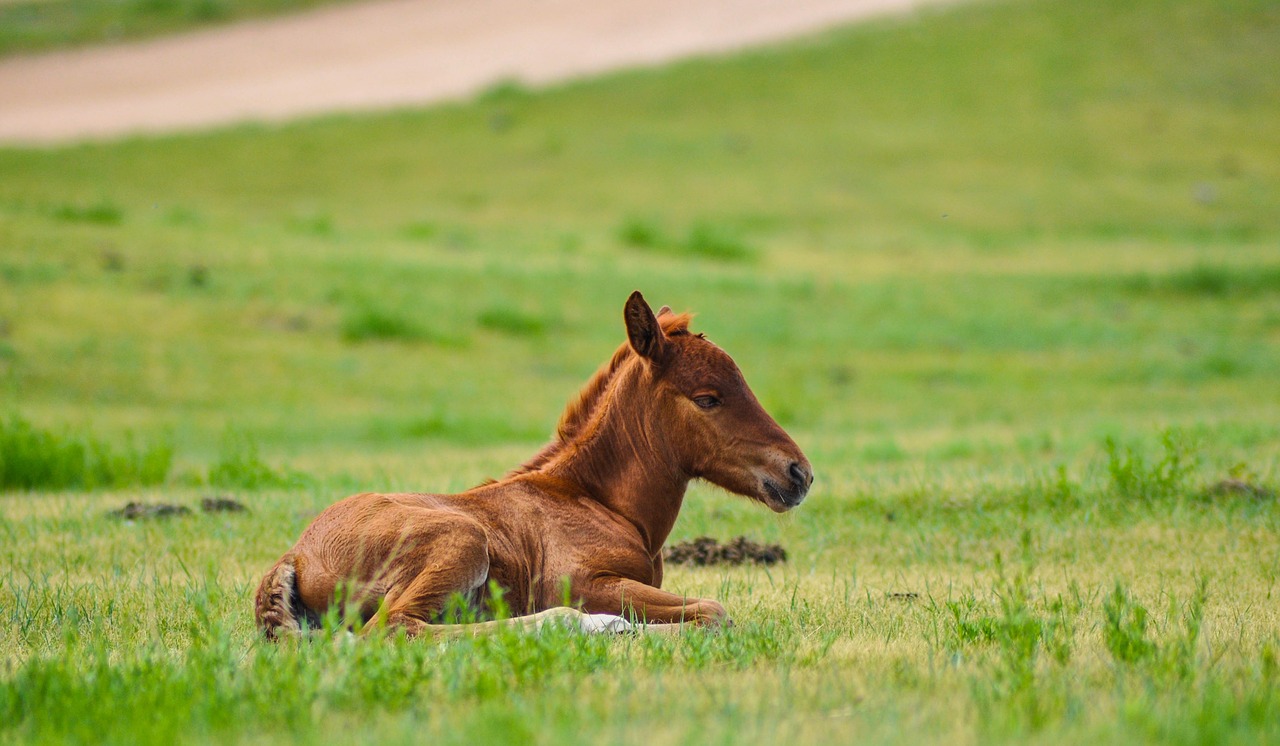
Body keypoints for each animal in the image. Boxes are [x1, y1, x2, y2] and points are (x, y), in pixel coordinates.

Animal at [254, 291, 808, 642]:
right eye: (708, 398)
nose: (799, 473)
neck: (597, 501)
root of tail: (294, 555)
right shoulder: (587, 581)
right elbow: (714, 612)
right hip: (462, 539)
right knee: (393, 629)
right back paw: (583, 625)